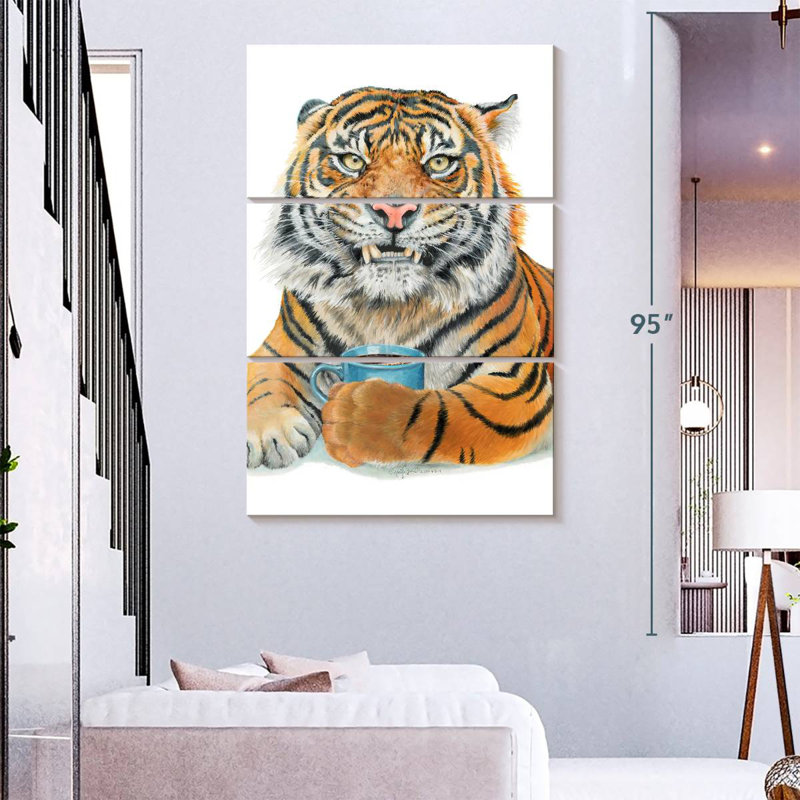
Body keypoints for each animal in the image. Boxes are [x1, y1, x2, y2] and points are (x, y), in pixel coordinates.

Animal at [247, 87, 553, 470]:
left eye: (439, 163)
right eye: (352, 161)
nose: (394, 211)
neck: (387, 309)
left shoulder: (516, 380)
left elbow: (435, 412)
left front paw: (357, 414)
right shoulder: (280, 347)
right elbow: (264, 381)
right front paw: (270, 433)